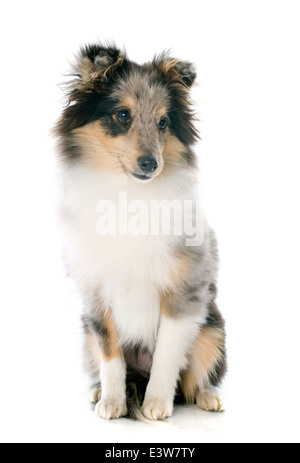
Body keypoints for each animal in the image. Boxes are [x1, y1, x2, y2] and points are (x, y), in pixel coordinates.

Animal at [54, 45, 227, 422]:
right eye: (122, 115)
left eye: (163, 123)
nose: (151, 164)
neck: (128, 194)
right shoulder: (96, 296)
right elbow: (111, 355)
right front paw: (112, 402)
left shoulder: (184, 292)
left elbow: (167, 354)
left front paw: (157, 405)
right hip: (85, 335)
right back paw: (96, 392)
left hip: (212, 329)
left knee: (196, 378)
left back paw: (208, 398)